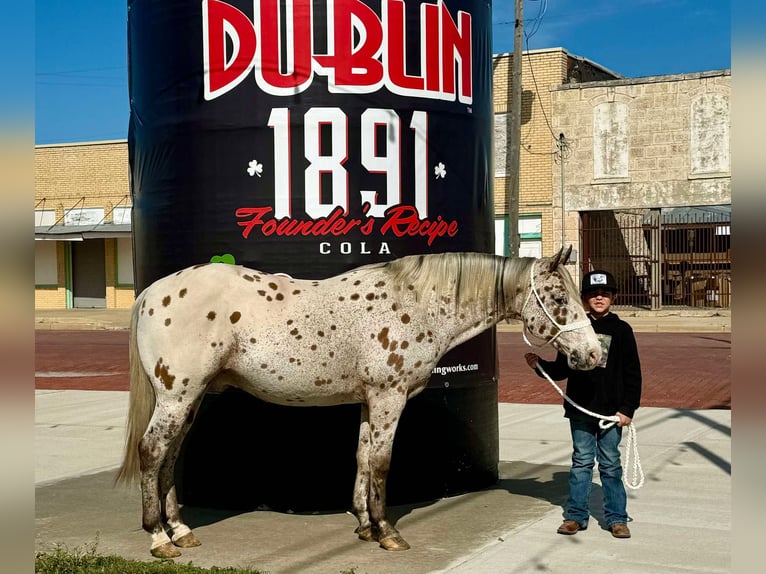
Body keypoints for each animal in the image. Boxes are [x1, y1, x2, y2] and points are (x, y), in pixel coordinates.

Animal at [117, 246, 604, 560]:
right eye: (558, 298)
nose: (594, 355)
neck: (416, 302)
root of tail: (152, 293)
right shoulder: (390, 396)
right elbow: (383, 462)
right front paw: (388, 532)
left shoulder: (371, 399)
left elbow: (364, 457)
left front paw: (365, 525)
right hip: (177, 395)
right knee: (152, 452)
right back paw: (159, 539)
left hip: (190, 398)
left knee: (169, 456)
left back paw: (181, 531)